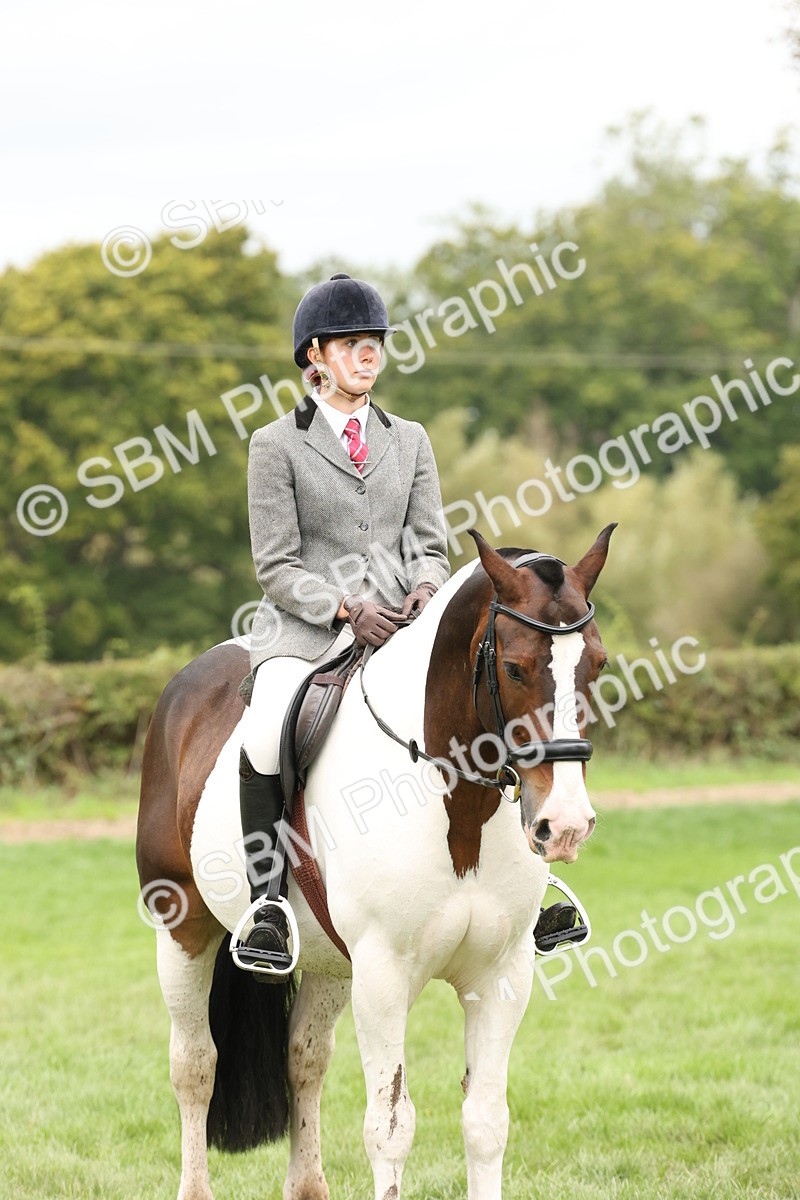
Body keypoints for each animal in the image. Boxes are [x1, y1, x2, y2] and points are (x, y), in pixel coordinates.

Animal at [136, 524, 615, 1200]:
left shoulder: (501, 975)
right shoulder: (384, 976)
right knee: (195, 1065)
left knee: (305, 1059)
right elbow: (391, 1127)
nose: (565, 825)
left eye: (597, 665)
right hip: (182, 929)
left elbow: (486, 1120)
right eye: (515, 668)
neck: (455, 809)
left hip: (331, 963)